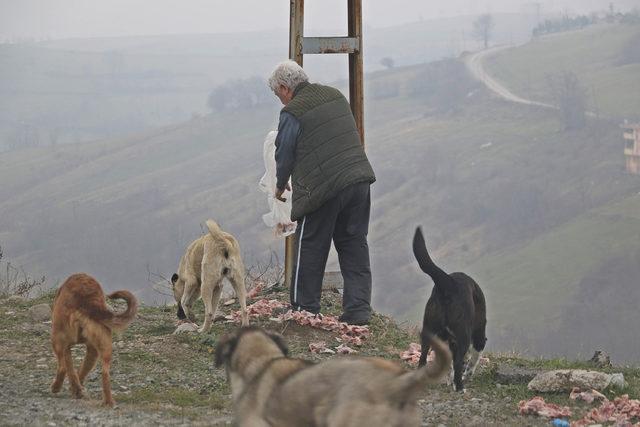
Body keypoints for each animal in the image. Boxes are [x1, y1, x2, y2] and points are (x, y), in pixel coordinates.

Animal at [50, 274, 138, 408]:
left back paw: (55, 387)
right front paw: (77, 390)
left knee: (62, 367)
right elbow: (76, 372)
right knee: (105, 374)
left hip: (57, 339)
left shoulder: (66, 346)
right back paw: (108, 402)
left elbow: (70, 369)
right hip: (102, 346)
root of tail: (87, 301)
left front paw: (75, 390)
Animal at [412, 227, 488, 392]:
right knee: (458, 361)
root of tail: (449, 283)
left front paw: (449, 379)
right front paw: (465, 375)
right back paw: (460, 388)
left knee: (423, 356)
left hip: (428, 329)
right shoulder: (478, 335)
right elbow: (473, 357)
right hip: (463, 334)